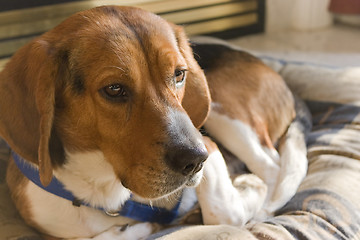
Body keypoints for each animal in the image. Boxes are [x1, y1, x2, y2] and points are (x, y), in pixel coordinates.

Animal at [0, 5, 310, 240]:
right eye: (114, 89)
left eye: (179, 74)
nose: (195, 161)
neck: (103, 186)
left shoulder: (208, 144)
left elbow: (225, 213)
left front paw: (247, 189)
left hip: (223, 109)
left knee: (271, 168)